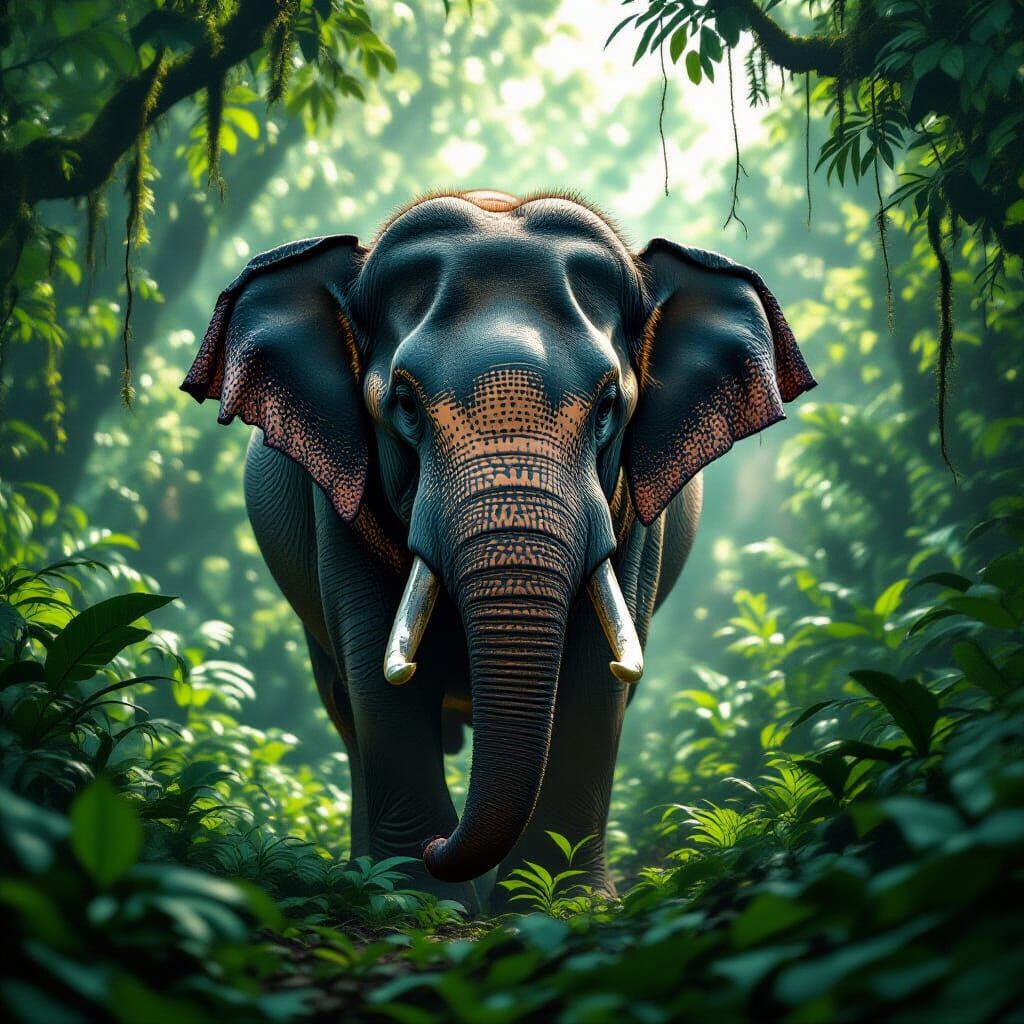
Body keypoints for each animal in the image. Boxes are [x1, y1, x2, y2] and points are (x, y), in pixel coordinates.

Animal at [181, 188, 815, 912]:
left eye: (609, 405)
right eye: (404, 403)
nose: (440, 848)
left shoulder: (633, 514)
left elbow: (596, 677)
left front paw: (563, 903)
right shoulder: (336, 500)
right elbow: (377, 672)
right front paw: (414, 901)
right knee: (345, 707)